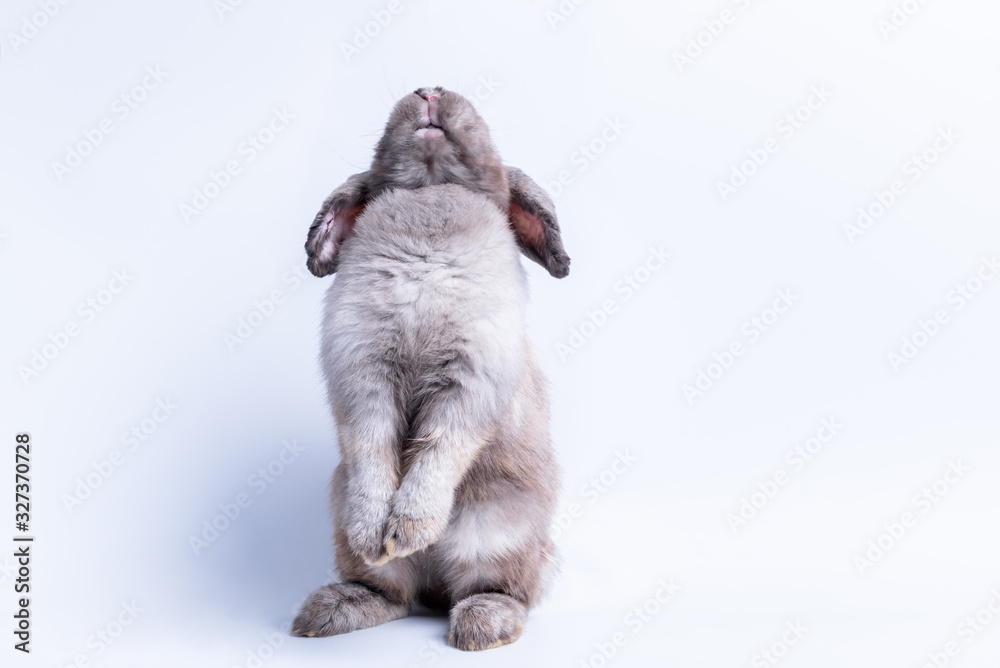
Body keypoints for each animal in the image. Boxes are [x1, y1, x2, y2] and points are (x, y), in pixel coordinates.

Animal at [290, 86, 570, 651]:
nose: (431, 91)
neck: (431, 190)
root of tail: (436, 587)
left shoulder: (468, 384)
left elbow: (440, 449)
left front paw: (409, 529)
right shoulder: (364, 378)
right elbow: (373, 449)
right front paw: (380, 532)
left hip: (498, 531)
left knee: (503, 588)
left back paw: (482, 625)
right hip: (346, 520)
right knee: (392, 592)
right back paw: (334, 606)